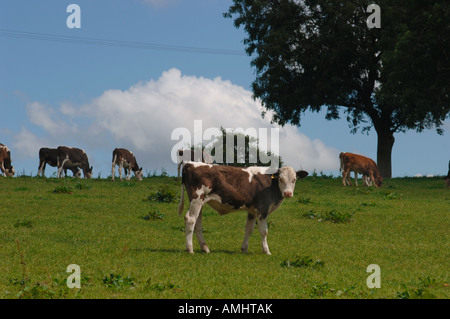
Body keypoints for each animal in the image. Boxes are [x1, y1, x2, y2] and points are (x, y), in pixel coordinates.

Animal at [178, 164, 308, 256]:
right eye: (280, 179)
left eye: (294, 179)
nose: (288, 193)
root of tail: (190, 164)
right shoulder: (263, 210)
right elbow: (264, 231)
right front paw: (266, 251)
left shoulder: (252, 211)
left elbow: (249, 229)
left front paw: (244, 248)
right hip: (197, 199)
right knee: (190, 219)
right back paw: (190, 249)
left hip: (200, 202)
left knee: (197, 223)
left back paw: (205, 248)